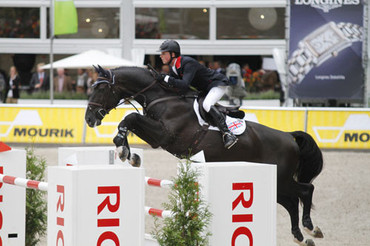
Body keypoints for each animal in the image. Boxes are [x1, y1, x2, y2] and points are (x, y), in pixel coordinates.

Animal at [84, 65, 324, 244]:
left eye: (102, 89)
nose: (89, 119)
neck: (162, 98)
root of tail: (289, 136)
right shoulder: (156, 136)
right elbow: (129, 122)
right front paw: (128, 154)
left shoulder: (163, 135)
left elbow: (130, 118)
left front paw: (124, 151)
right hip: (276, 183)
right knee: (291, 201)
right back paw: (301, 236)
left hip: (282, 179)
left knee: (306, 190)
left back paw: (311, 228)